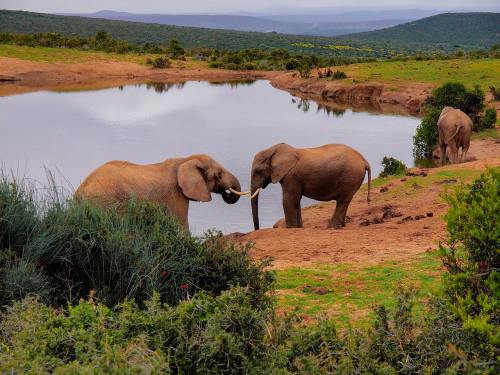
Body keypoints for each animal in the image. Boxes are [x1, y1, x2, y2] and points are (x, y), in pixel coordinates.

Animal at [75, 153, 245, 229]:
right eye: (219, 174)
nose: (227, 191)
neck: (185, 159)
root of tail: (79, 192)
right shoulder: (174, 195)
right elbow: (180, 225)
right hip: (105, 201)